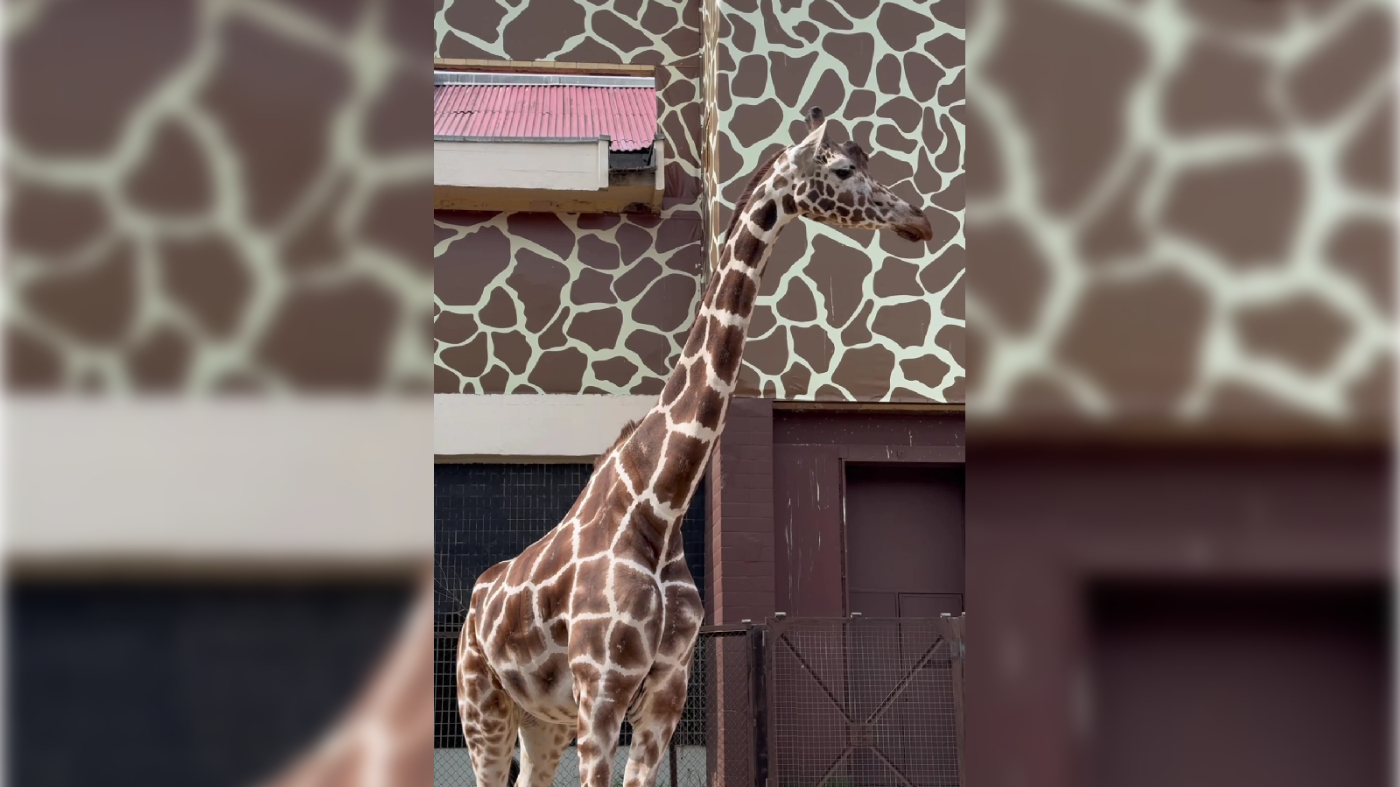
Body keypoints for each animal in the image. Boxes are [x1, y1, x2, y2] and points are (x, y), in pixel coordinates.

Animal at [456, 106, 933, 787]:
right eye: (843, 169)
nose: (917, 219)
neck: (661, 505)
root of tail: (475, 601)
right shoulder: (601, 692)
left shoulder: (666, 692)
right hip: (482, 705)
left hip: (542, 721)